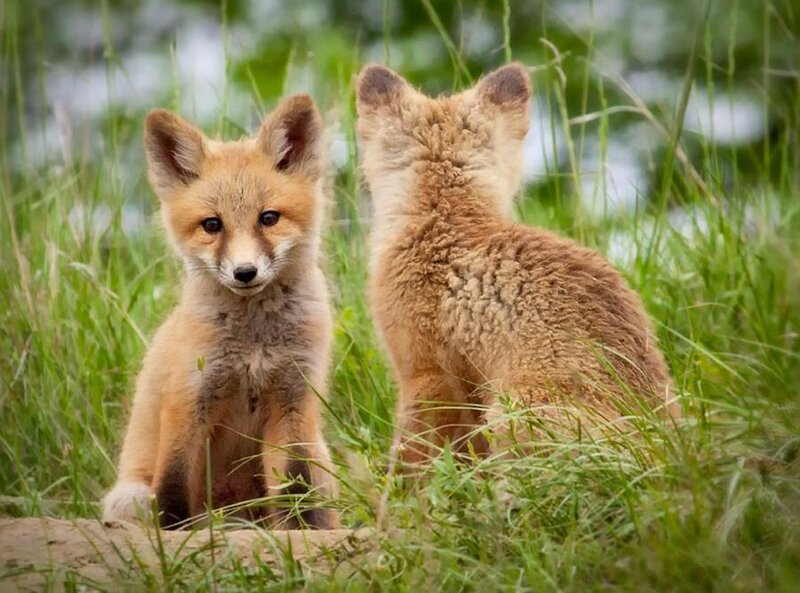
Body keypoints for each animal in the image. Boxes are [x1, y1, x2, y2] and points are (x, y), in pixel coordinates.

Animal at [102, 95, 339, 529]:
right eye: (212, 225)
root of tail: (235, 513)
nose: (244, 272)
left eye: (269, 218)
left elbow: (294, 489)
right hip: (131, 497)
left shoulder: (294, 404)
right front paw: (173, 535)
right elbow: (174, 484)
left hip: (322, 461)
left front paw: (298, 532)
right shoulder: (189, 399)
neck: (254, 346)